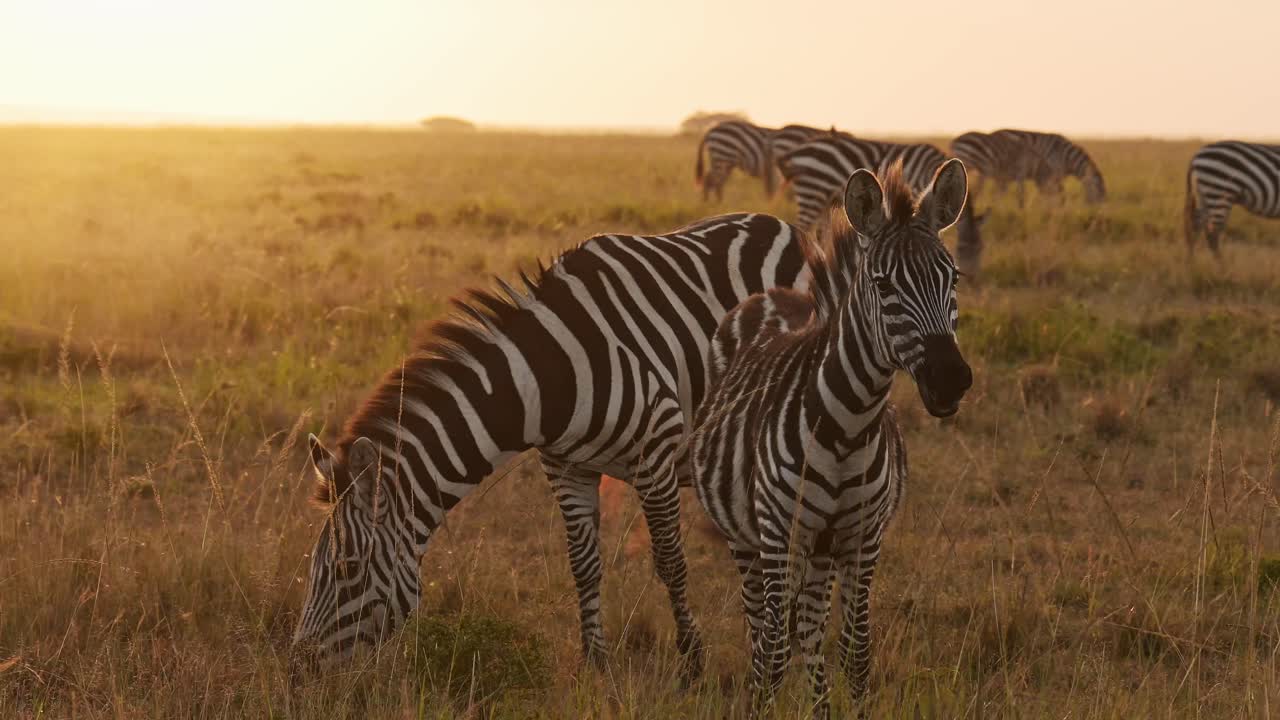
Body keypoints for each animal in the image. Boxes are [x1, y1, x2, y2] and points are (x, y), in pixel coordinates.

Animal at [290, 213, 809, 682]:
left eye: (347, 568)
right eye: (313, 568)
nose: (299, 670)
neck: (544, 378)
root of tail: (782, 224)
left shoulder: (655, 457)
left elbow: (671, 564)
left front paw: (692, 664)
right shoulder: (565, 467)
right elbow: (584, 565)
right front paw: (596, 665)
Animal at [692, 160, 973, 717]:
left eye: (952, 278)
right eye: (883, 284)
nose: (951, 379)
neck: (848, 426)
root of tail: (775, 295)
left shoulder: (863, 538)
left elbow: (855, 651)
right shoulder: (780, 535)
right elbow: (772, 654)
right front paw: (763, 705)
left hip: (819, 547)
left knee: (809, 627)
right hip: (749, 539)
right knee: (762, 632)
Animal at [695, 121, 825, 202]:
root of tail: (711, 130)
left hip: (725, 161)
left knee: (714, 181)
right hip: (722, 156)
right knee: (713, 181)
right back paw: (712, 205)